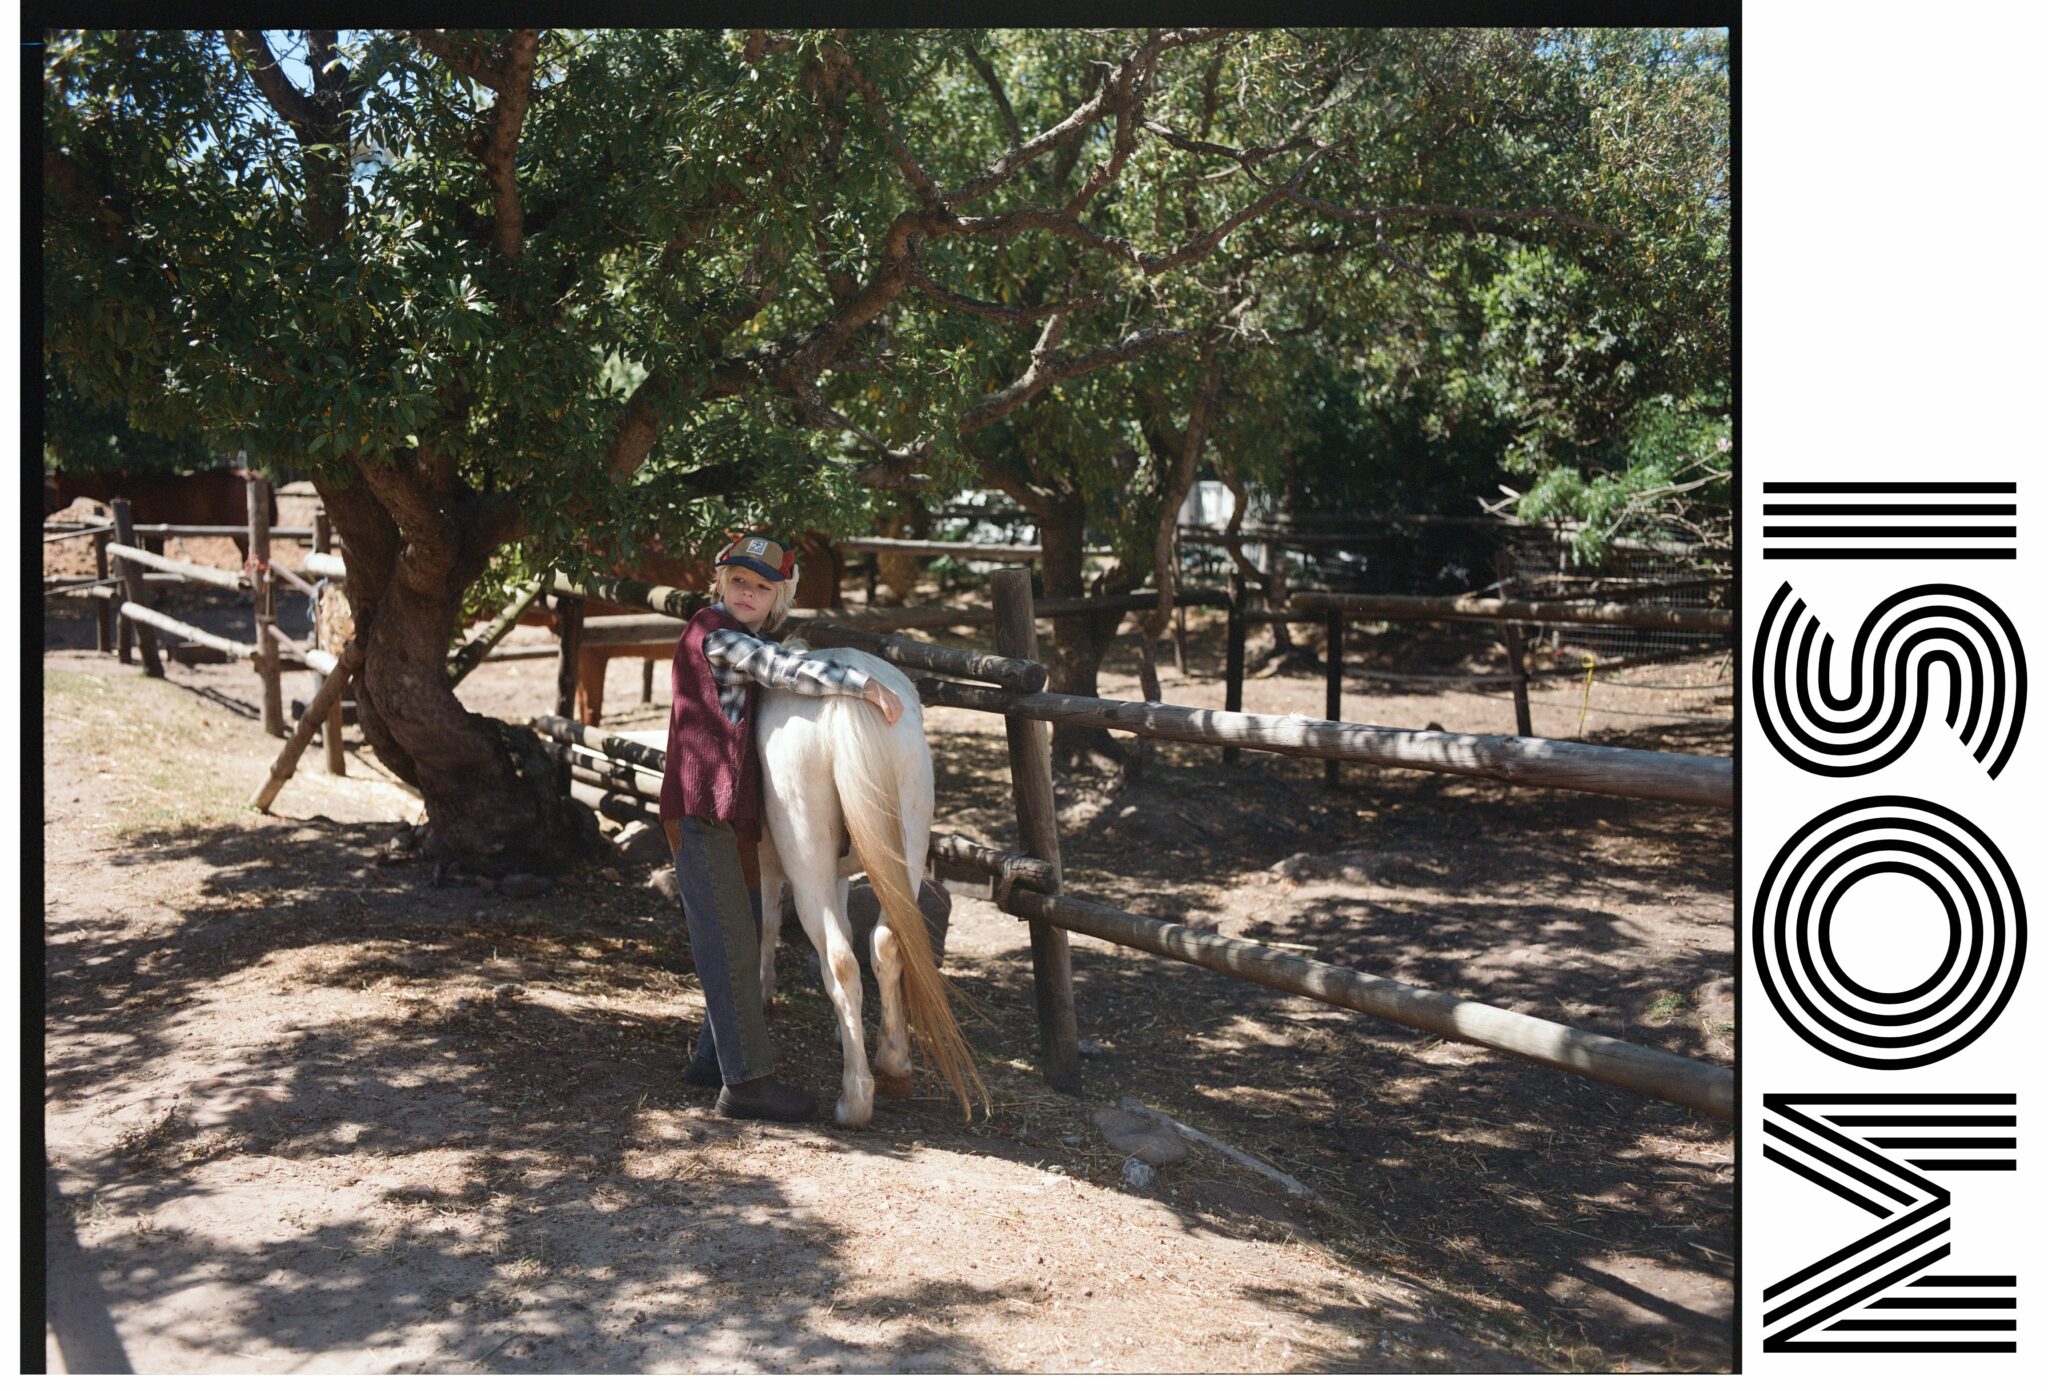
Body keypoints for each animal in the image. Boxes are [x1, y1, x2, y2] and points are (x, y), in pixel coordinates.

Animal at [753, 646, 987, 1128]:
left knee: (841, 959)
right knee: (885, 942)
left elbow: (766, 921)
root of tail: (847, 698)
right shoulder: (841, 874)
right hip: (907, 851)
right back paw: (893, 1062)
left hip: (809, 866)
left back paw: (854, 1100)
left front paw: (764, 991)